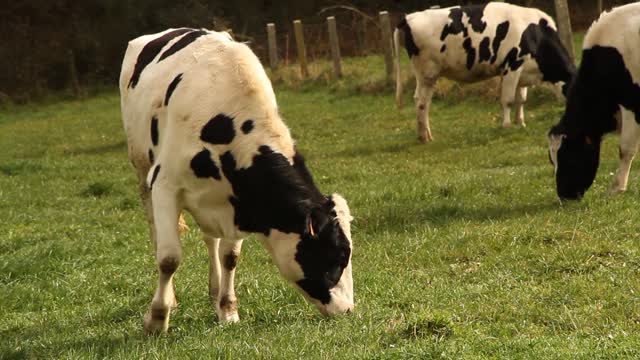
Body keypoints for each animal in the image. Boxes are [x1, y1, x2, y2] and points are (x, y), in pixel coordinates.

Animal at [120, 28, 356, 334]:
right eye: (339, 255)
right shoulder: (165, 185)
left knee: (210, 240)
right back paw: (171, 298)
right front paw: (157, 320)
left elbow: (229, 257)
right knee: (155, 232)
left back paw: (214, 290)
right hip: (142, 168)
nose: (348, 310)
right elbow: (169, 258)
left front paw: (227, 310)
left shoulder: (237, 202)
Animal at [392, 2, 576, 142]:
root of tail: (410, 17)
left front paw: (520, 123)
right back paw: (424, 137)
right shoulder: (512, 66)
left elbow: (521, 100)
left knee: (423, 101)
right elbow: (508, 100)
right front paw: (506, 126)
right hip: (427, 73)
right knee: (422, 102)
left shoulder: (523, 71)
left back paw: (427, 135)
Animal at [548, 3, 640, 200]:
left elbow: (625, 148)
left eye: (569, 155)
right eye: (551, 160)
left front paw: (617, 188)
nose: (563, 195)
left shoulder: (630, 105)